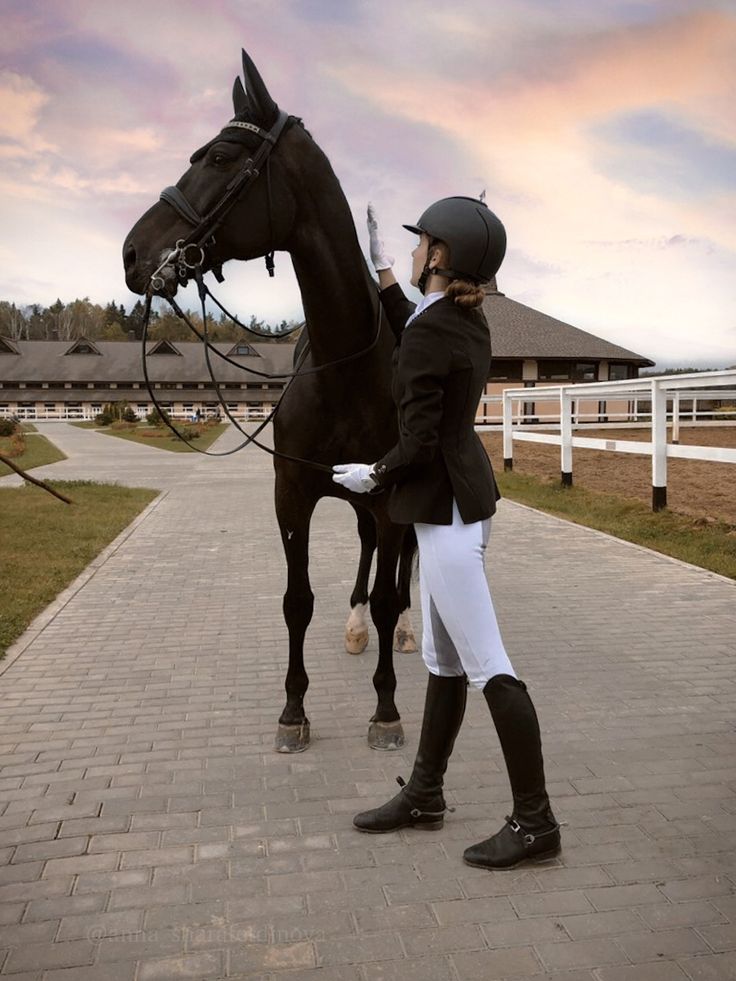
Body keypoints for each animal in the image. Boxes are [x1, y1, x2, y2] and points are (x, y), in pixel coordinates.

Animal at [123, 47, 416, 752]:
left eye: (220, 156)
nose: (133, 253)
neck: (347, 366)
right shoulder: (293, 495)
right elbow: (297, 601)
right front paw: (293, 710)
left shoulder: (389, 494)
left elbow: (390, 591)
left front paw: (385, 710)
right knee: (366, 548)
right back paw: (355, 626)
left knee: (404, 568)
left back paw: (404, 630)